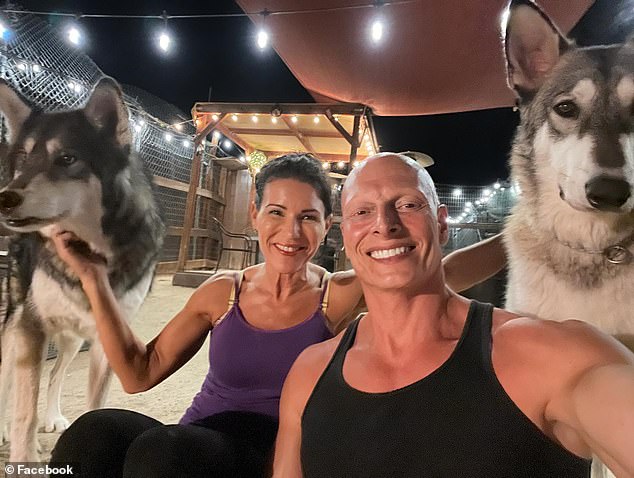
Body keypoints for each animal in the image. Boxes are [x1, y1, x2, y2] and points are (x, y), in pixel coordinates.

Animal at [0, 77, 165, 460]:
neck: (89, 251)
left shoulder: (110, 342)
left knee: (55, 374)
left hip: (73, 339)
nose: (4, 198)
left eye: (67, 158)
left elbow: (93, 407)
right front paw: (24, 456)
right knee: (8, 382)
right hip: (15, 325)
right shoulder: (30, 327)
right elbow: (24, 414)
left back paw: (53, 418)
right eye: (24, 158)